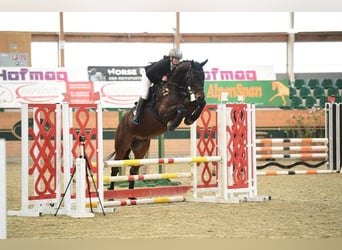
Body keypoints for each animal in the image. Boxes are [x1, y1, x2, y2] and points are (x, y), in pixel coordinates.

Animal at [107, 59, 208, 190]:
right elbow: (181, 108)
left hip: (141, 147)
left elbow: (198, 105)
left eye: (203, 76)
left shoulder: (189, 105)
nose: (200, 96)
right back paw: (111, 192)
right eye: (192, 76)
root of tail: (122, 122)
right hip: (122, 146)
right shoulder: (163, 113)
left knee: (133, 170)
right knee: (115, 169)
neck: (174, 89)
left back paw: (131, 194)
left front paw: (190, 119)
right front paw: (172, 124)